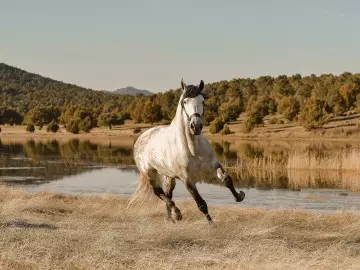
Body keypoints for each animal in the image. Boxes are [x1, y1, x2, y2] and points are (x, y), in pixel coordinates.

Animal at [129, 78, 245, 224]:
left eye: (203, 101)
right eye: (184, 102)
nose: (196, 126)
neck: (192, 148)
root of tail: (142, 137)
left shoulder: (214, 165)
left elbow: (227, 180)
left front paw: (239, 196)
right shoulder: (187, 180)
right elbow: (201, 204)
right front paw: (212, 225)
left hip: (169, 176)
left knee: (167, 194)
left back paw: (171, 219)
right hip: (150, 174)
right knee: (159, 193)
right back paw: (176, 214)